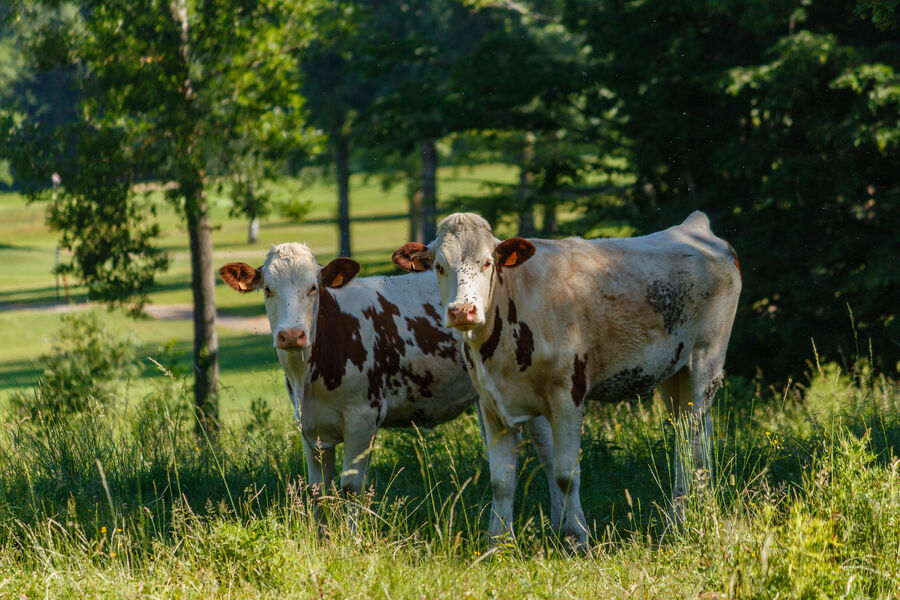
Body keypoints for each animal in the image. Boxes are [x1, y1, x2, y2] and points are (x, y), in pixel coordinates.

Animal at [219, 242, 563, 526]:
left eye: (313, 288)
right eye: (267, 289)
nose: (291, 335)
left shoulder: (362, 418)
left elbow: (350, 487)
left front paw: (351, 542)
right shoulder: (310, 426)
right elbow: (318, 491)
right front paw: (322, 541)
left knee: (549, 456)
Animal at [392, 211, 741, 547]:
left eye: (487, 263)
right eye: (439, 266)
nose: (462, 310)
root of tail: (693, 226)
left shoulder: (567, 395)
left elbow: (565, 474)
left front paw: (576, 539)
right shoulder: (491, 405)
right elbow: (500, 481)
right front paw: (498, 544)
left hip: (705, 359)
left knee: (692, 442)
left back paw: (687, 519)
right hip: (675, 373)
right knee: (692, 433)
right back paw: (692, 511)